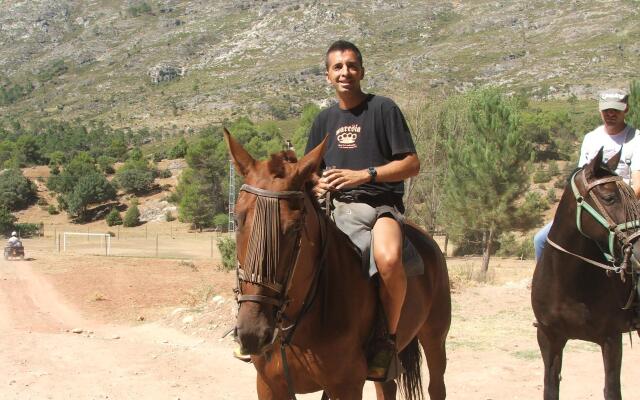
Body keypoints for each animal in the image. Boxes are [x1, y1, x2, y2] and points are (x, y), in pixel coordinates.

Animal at [224, 129, 450, 400]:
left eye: (295, 227)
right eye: (237, 220)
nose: (252, 333)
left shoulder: (346, 386)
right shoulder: (270, 386)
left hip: (435, 337)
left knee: (436, 386)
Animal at [528, 148, 640, 398]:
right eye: (609, 198)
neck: (570, 282)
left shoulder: (611, 340)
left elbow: (612, 389)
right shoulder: (549, 337)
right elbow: (550, 387)